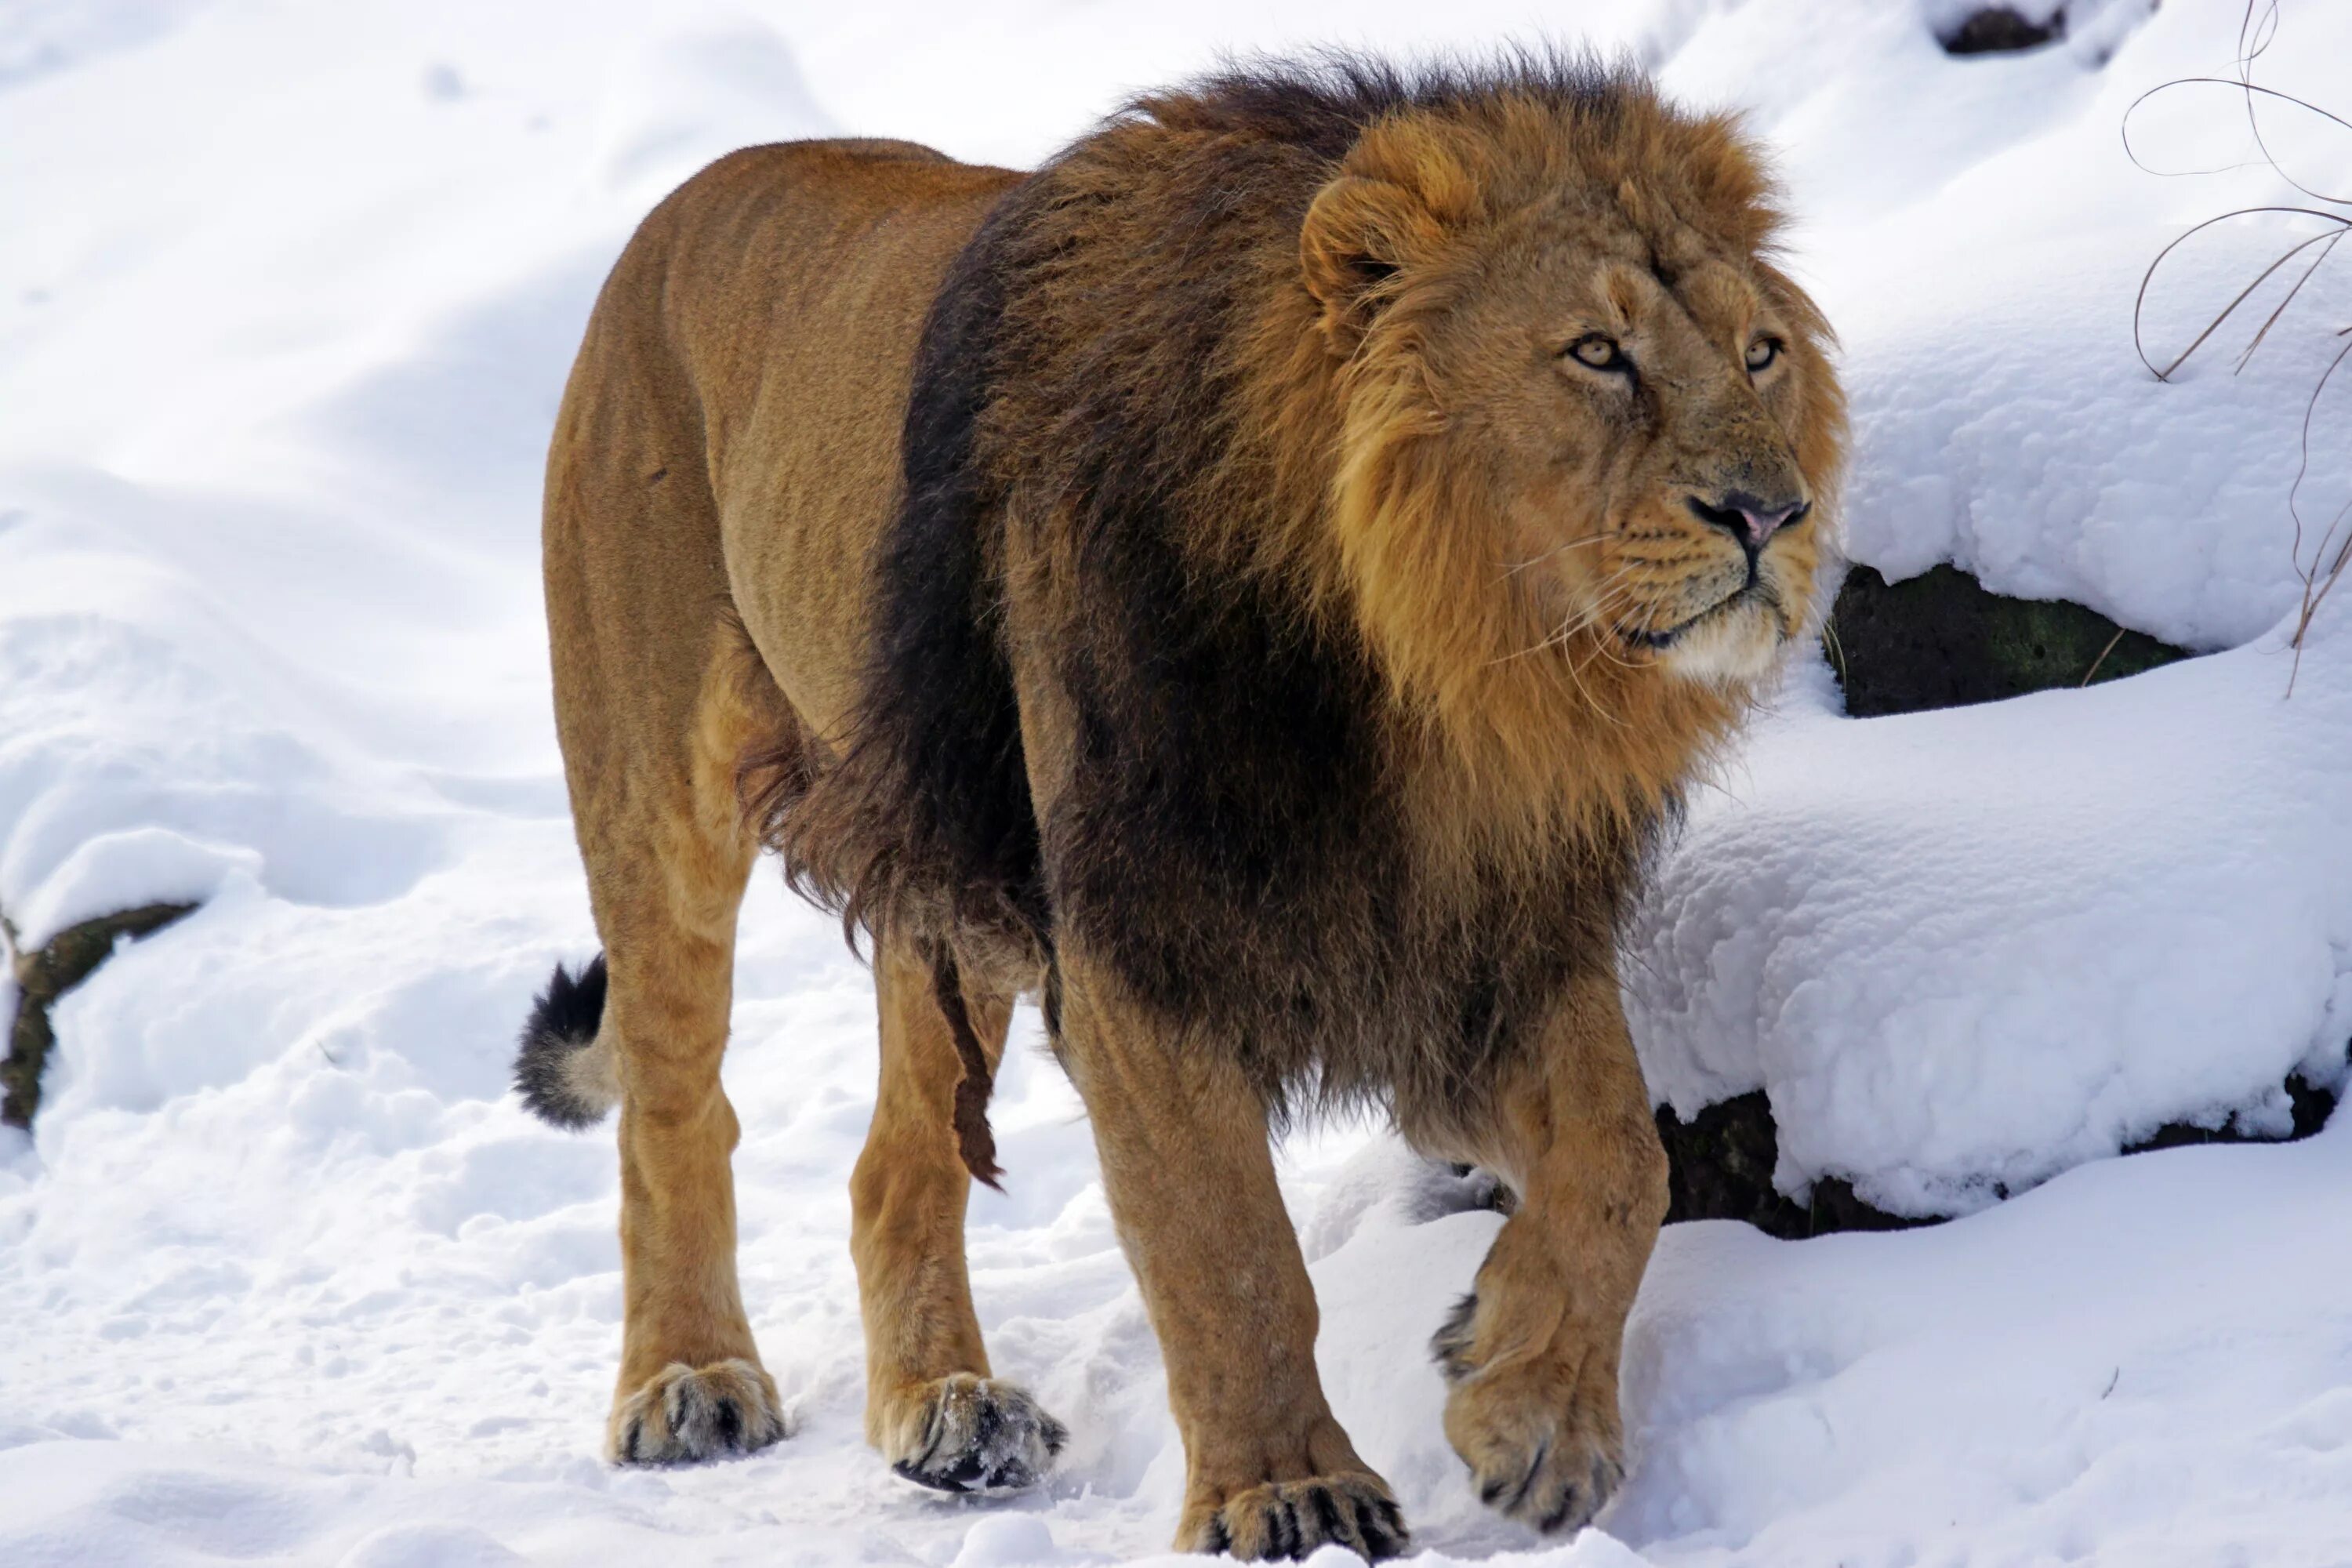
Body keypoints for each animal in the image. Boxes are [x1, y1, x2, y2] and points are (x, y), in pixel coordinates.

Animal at [510, 55, 1835, 1561]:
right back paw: (688, 1385)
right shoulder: (1139, 938)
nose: (1772, 514)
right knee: (674, 1110)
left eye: (1761, 354)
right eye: (1598, 353)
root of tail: (681, 206)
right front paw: (1293, 1492)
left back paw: (950, 1413)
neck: (1439, 680)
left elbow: (1622, 1158)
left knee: (895, 1165)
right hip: (657, 798)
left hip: (945, 875)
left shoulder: (1486, 938)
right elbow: (1230, 1249)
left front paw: (1529, 1408)